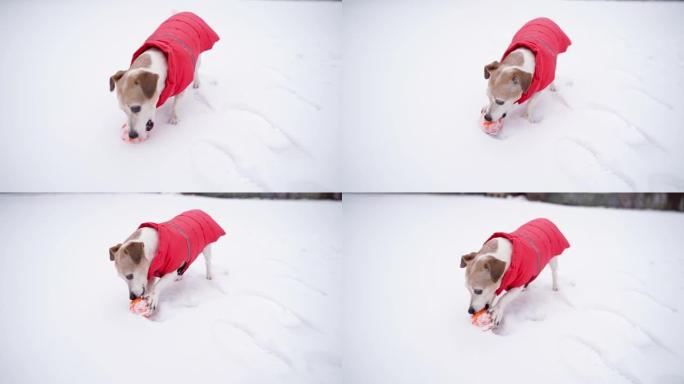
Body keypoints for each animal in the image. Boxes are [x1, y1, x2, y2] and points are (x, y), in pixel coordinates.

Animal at [109, 13, 219, 144]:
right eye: (123, 110)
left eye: (136, 108)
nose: (132, 135)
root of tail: (185, 12)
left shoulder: (181, 83)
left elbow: (176, 103)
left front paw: (174, 118)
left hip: (197, 57)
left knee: (196, 69)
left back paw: (196, 81)